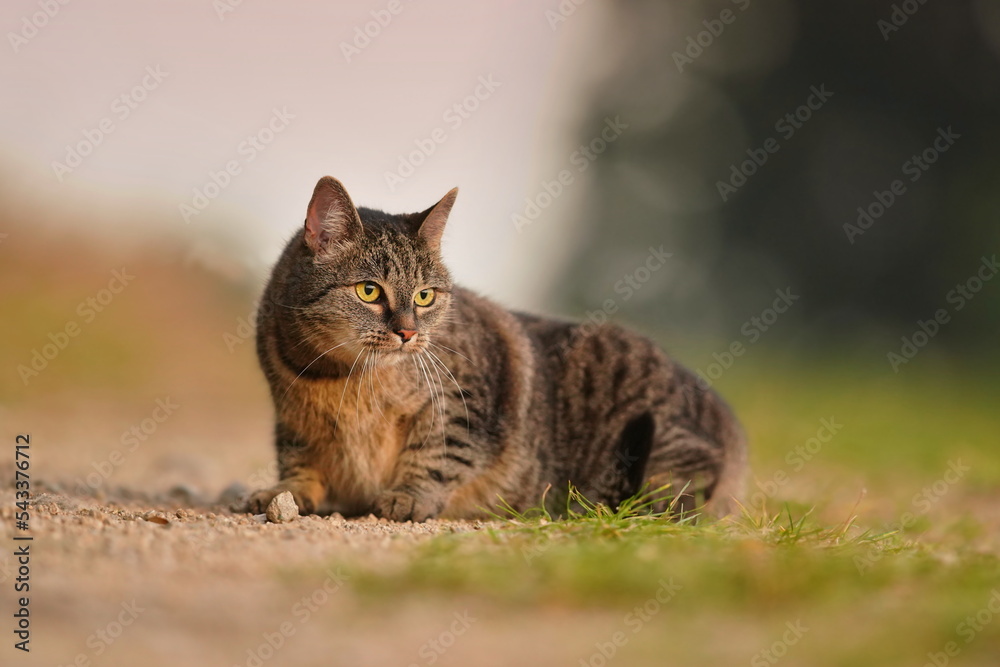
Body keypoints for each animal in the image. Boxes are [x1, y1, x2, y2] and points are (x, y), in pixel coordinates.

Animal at [246, 177, 748, 520]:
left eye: (424, 296)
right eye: (369, 291)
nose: (408, 333)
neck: (340, 375)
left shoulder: (468, 398)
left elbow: (438, 453)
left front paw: (410, 496)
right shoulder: (292, 418)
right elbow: (297, 459)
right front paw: (285, 491)